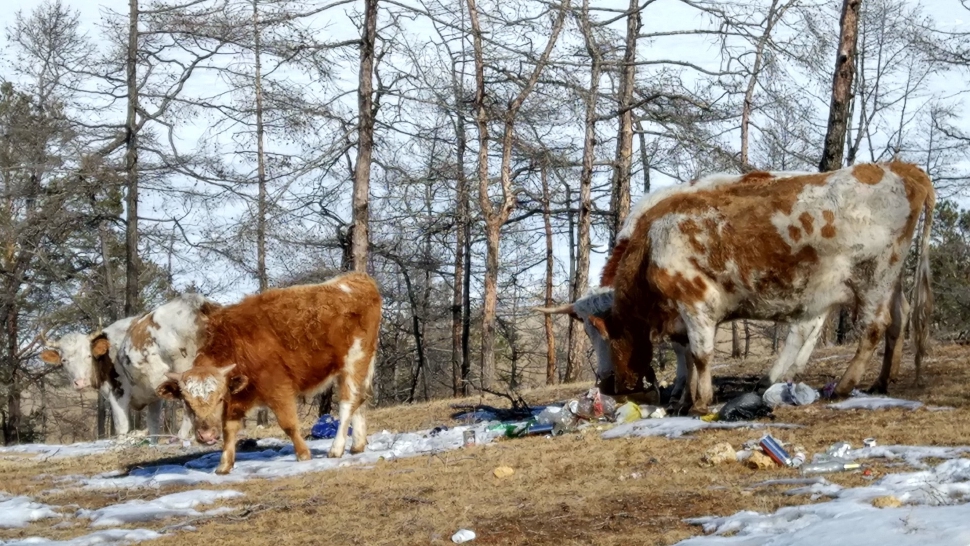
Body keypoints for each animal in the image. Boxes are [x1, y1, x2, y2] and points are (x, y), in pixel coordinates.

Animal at [156, 272, 382, 475]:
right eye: (186, 402)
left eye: (219, 398)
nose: (206, 435)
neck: (235, 344)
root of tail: (356, 279)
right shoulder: (236, 398)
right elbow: (229, 430)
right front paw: (224, 465)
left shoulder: (278, 387)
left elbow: (288, 424)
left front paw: (303, 454)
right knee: (359, 401)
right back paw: (357, 445)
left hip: (355, 361)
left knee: (347, 404)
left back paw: (336, 448)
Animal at [543, 162, 933, 415]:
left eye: (608, 335)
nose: (612, 385)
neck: (650, 242)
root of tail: (899, 167)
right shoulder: (680, 314)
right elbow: (688, 353)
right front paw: (684, 396)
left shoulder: (696, 301)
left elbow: (698, 353)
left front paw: (696, 400)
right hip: (890, 278)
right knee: (897, 320)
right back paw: (880, 380)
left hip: (872, 276)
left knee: (871, 327)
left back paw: (843, 384)